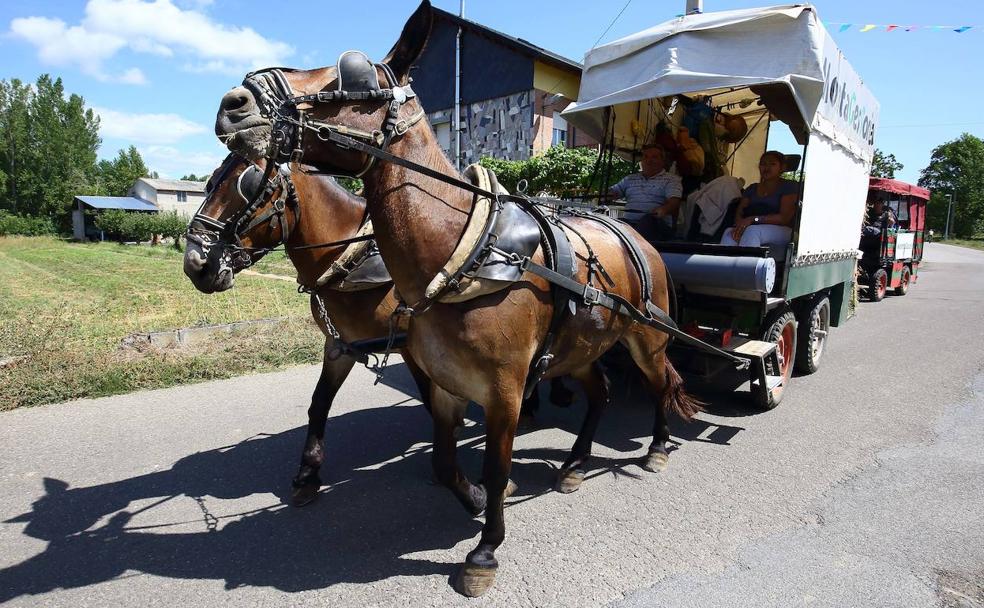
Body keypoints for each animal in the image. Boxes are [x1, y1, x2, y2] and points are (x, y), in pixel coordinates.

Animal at [215, 2, 700, 596]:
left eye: (350, 72)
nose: (233, 104)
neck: (463, 253)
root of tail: (637, 236)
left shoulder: (503, 391)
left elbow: (496, 464)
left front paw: (485, 548)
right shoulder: (436, 378)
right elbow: (443, 458)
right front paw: (470, 498)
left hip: (645, 340)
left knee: (659, 384)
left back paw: (655, 447)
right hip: (581, 346)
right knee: (601, 392)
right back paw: (576, 464)